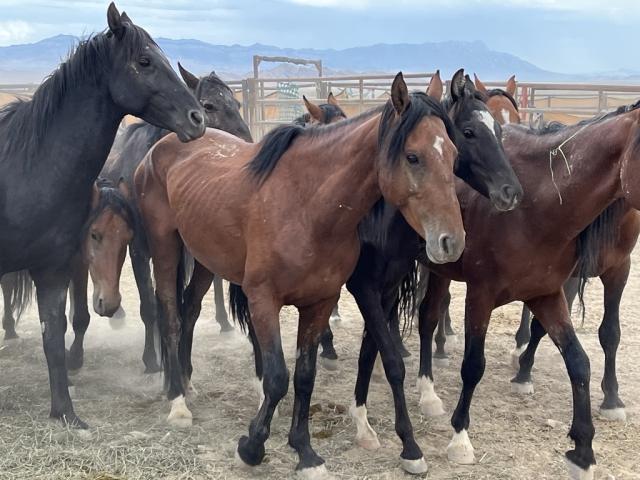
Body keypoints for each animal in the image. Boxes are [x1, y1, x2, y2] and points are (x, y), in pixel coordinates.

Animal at [0, 3, 204, 428]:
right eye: (144, 61)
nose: (197, 118)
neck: (26, 167)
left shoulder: (52, 269)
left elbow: (54, 336)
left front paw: (65, 414)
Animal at [62, 64, 251, 373]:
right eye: (208, 105)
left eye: (236, 104)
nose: (248, 145)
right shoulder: (138, 250)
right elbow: (149, 306)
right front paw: (152, 359)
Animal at [135, 73, 465, 478]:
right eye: (413, 156)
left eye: (454, 156)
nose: (452, 241)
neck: (307, 207)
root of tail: (166, 144)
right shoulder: (264, 300)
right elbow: (278, 378)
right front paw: (252, 447)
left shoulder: (320, 303)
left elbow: (305, 377)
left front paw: (305, 452)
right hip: (165, 248)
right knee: (170, 315)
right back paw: (178, 401)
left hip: (204, 260)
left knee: (189, 310)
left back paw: (185, 381)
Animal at [340, 69, 521, 464]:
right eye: (468, 132)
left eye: (502, 130)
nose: (511, 192)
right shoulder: (364, 285)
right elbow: (389, 354)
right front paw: (400, 439)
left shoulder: (393, 281)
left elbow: (375, 348)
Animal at [406, 101, 640, 479]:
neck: (534, 209)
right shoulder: (481, 295)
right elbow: (473, 365)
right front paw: (460, 439)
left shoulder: (547, 294)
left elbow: (579, 361)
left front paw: (583, 452)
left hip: (440, 269)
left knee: (428, 317)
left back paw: (428, 391)